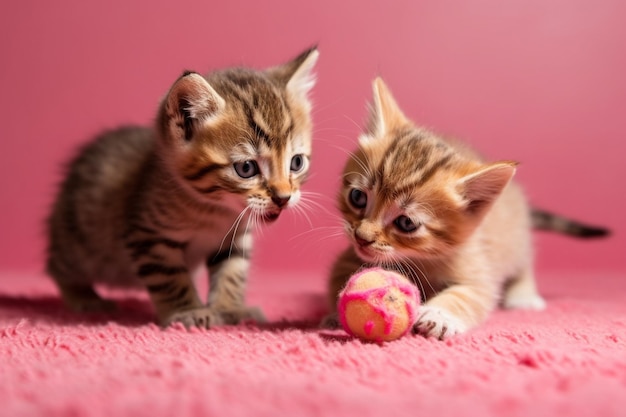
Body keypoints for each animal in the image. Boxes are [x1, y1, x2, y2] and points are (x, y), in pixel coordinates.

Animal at [45, 44, 316, 324]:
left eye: (296, 162)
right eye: (246, 168)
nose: (283, 197)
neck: (214, 211)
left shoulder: (234, 239)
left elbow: (232, 273)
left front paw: (230, 309)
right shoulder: (149, 236)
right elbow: (170, 279)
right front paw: (189, 311)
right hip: (83, 246)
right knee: (58, 266)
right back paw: (83, 297)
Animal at [324, 77, 608, 338]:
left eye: (406, 223)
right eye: (358, 197)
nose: (362, 237)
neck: (421, 258)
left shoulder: (479, 273)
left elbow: (467, 295)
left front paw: (439, 314)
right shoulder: (351, 255)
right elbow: (341, 276)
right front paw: (334, 313)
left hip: (516, 240)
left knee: (524, 260)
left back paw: (523, 294)